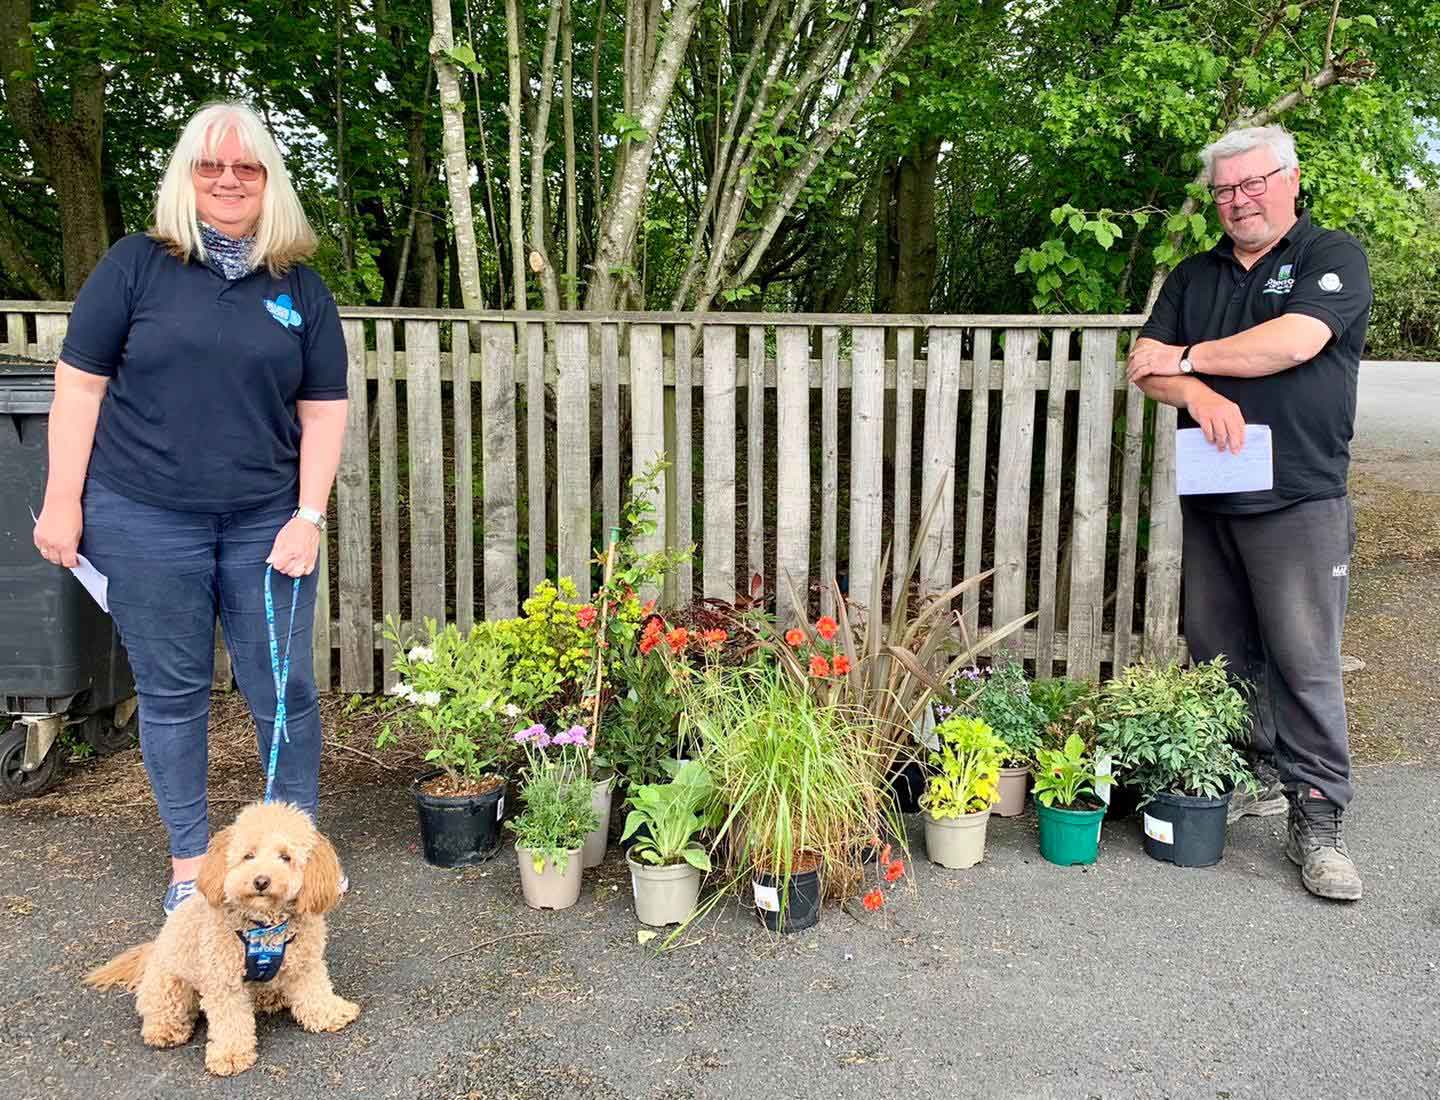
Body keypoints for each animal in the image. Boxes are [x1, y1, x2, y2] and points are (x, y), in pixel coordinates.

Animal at [84, 800, 362, 1076]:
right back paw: (165, 1030)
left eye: (286, 857)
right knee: (162, 1009)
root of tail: (153, 950)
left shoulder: (306, 965)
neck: (264, 926)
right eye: (248, 856)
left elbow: (316, 992)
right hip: (169, 985)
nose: (261, 881)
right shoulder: (222, 981)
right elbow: (231, 1021)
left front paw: (331, 1013)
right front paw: (230, 1055)